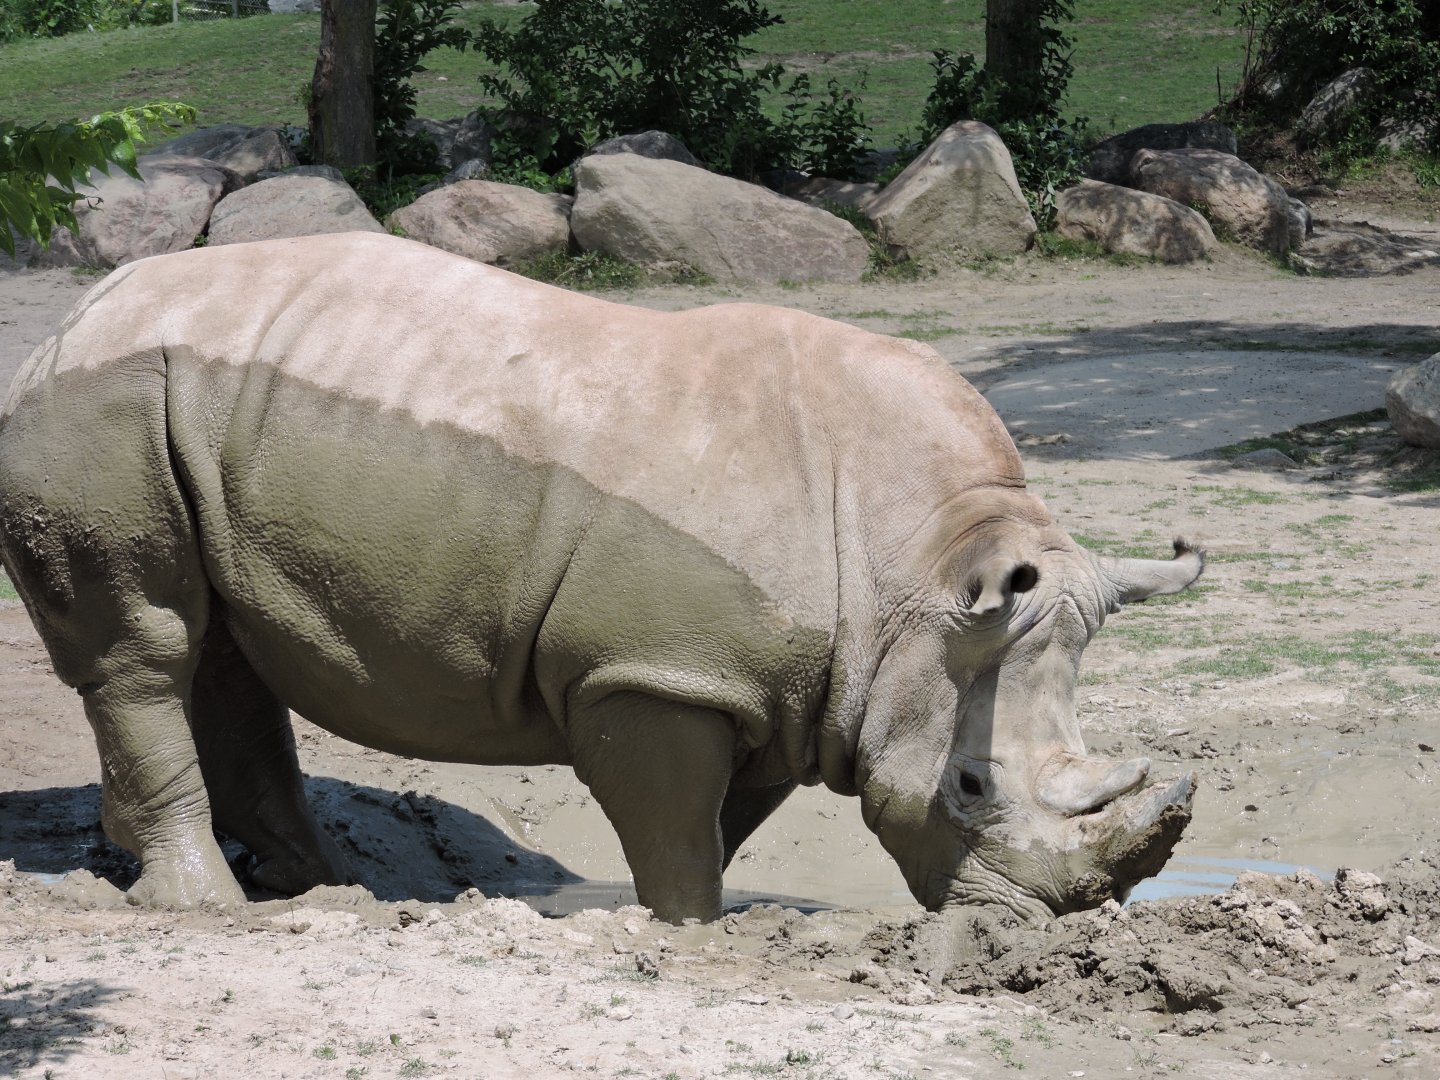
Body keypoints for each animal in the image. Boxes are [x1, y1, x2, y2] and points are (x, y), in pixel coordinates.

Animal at [0, 233, 1202, 923]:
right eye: (971, 788)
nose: (1061, 922)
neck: (922, 566)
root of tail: (68, 319)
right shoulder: (654, 675)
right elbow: (676, 837)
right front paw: (687, 935)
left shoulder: (779, 689)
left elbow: (718, 830)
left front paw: (683, 920)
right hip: (106, 402)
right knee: (145, 646)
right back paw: (204, 906)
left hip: (183, 407)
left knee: (222, 648)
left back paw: (328, 890)